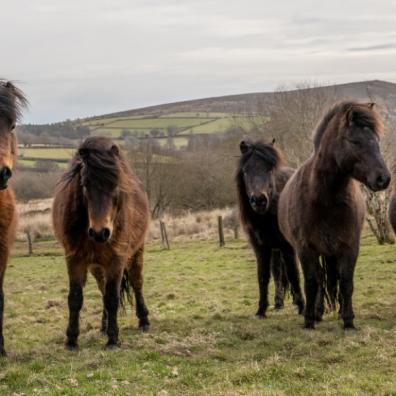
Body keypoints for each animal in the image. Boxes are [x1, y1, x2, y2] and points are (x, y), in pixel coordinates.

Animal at [52, 136, 150, 350]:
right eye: (85, 184)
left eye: (116, 184)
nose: (99, 232)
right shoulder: (74, 259)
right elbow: (75, 298)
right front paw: (71, 340)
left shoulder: (117, 260)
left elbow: (113, 298)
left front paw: (113, 340)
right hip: (97, 267)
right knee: (103, 290)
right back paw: (103, 327)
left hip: (136, 253)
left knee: (137, 283)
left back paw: (144, 321)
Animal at [237, 140, 304, 318]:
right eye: (245, 171)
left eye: (269, 169)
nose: (259, 200)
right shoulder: (261, 248)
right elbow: (263, 276)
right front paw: (261, 310)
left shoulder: (288, 246)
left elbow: (294, 274)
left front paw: (302, 307)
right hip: (275, 249)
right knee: (277, 273)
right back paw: (279, 302)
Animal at [278, 100, 390, 330]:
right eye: (354, 141)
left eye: (376, 141)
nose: (383, 178)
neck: (325, 199)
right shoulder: (306, 249)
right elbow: (312, 283)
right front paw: (309, 320)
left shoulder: (349, 247)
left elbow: (346, 282)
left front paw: (348, 321)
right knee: (321, 281)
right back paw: (318, 312)